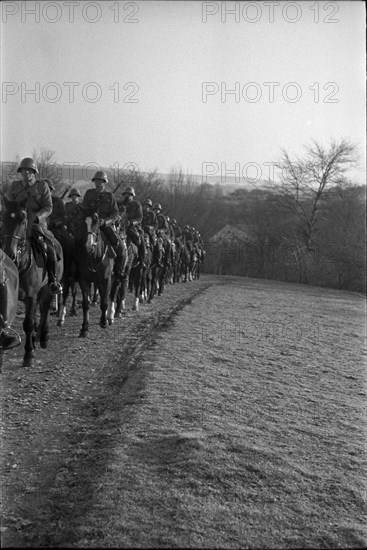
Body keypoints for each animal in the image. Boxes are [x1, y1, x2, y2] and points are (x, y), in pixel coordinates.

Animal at [1, 201, 63, 368]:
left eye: (23, 222)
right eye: (2, 219)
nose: (10, 252)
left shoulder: (30, 297)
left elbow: (28, 324)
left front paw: (28, 355)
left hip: (48, 288)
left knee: (45, 308)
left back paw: (44, 337)